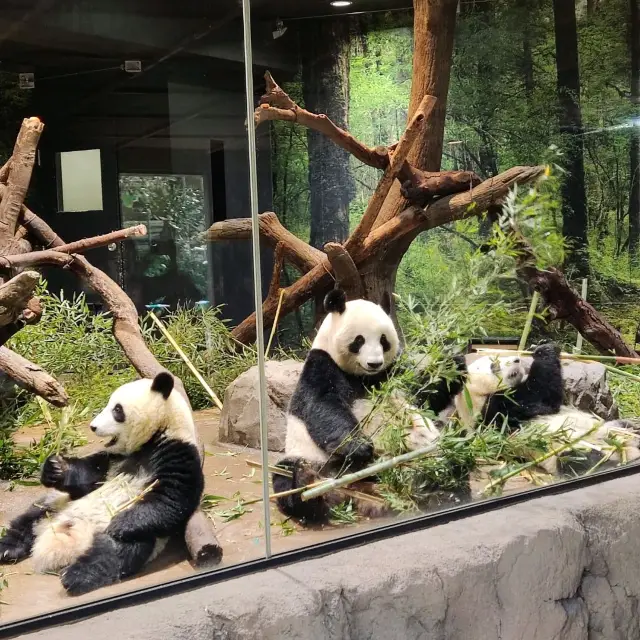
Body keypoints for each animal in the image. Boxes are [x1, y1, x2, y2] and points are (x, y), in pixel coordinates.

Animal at [0, 372, 202, 596]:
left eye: (117, 410)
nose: (93, 426)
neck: (154, 437)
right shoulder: (112, 459)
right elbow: (87, 475)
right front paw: (55, 468)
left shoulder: (178, 454)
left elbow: (170, 499)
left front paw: (120, 523)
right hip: (56, 506)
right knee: (28, 519)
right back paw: (7, 549)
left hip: (143, 535)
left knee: (115, 552)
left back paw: (76, 575)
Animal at [272, 290, 444, 524]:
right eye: (359, 340)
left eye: (383, 340)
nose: (374, 363)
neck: (364, 376)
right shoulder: (322, 365)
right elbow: (322, 405)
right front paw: (359, 446)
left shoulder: (395, 370)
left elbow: (425, 391)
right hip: (311, 458)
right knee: (286, 476)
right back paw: (308, 487)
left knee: (433, 470)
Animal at [450, 344, 640, 476]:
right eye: (494, 365)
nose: (517, 360)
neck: (474, 397)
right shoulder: (496, 411)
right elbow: (543, 399)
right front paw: (544, 352)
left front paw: (539, 346)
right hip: (568, 451)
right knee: (581, 460)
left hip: (610, 427)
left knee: (624, 426)